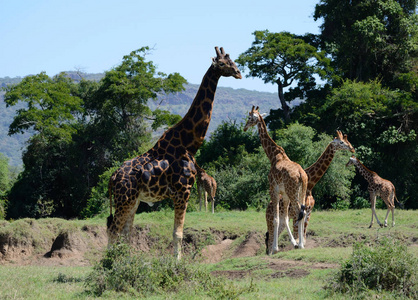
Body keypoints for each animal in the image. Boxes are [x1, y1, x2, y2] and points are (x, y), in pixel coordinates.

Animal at [107, 47, 242, 260]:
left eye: (233, 61)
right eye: (222, 64)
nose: (238, 73)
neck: (189, 143)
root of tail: (113, 177)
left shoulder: (181, 193)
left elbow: (177, 232)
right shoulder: (182, 192)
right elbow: (178, 233)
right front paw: (177, 262)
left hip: (133, 201)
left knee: (125, 233)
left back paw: (125, 261)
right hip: (124, 199)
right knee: (113, 231)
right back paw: (108, 263)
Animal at [245, 105, 306, 253]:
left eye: (249, 117)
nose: (244, 127)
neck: (273, 156)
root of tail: (302, 174)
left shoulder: (273, 189)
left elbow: (276, 219)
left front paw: (275, 248)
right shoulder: (284, 193)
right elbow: (284, 218)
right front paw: (292, 242)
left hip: (293, 192)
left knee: (299, 212)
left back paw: (301, 244)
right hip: (301, 191)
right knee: (304, 211)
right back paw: (301, 243)